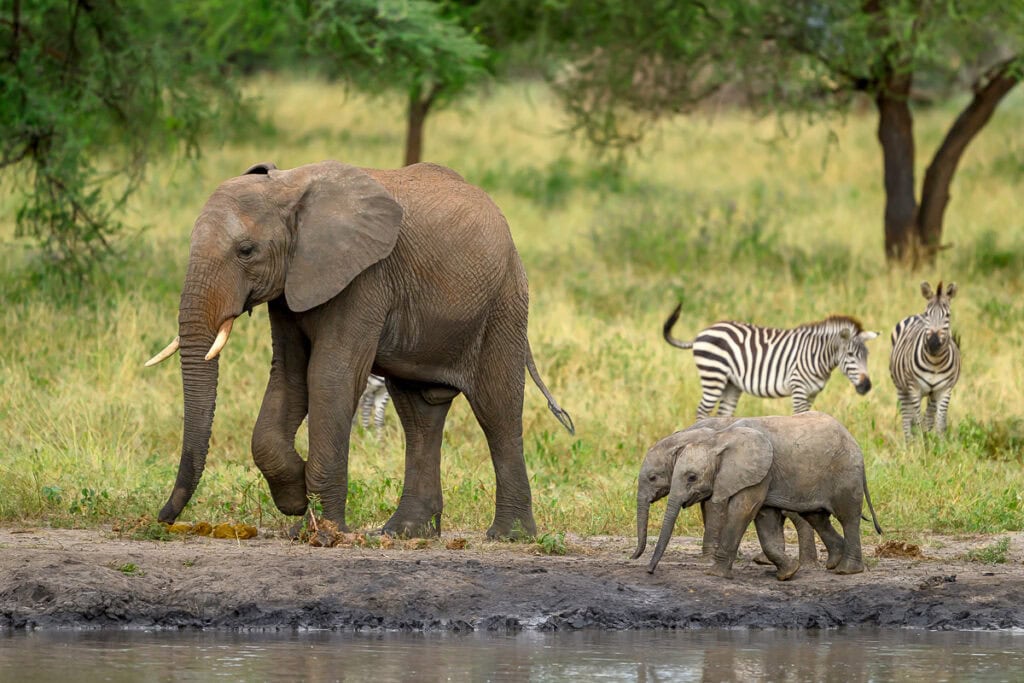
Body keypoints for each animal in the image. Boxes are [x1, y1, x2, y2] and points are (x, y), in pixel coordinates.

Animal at [663, 303, 880, 419]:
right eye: (850, 355)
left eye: (867, 355)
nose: (866, 386)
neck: (816, 355)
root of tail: (701, 333)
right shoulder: (799, 388)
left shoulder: (812, 394)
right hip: (713, 376)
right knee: (702, 411)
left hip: (731, 383)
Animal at [889, 281, 961, 439]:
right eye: (928, 314)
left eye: (948, 315)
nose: (933, 343)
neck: (935, 362)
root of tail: (916, 315)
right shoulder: (914, 388)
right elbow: (918, 423)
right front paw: (922, 443)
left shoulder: (944, 390)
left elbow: (938, 425)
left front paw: (938, 445)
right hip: (902, 388)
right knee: (907, 419)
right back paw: (910, 443)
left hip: (932, 394)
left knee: (928, 418)